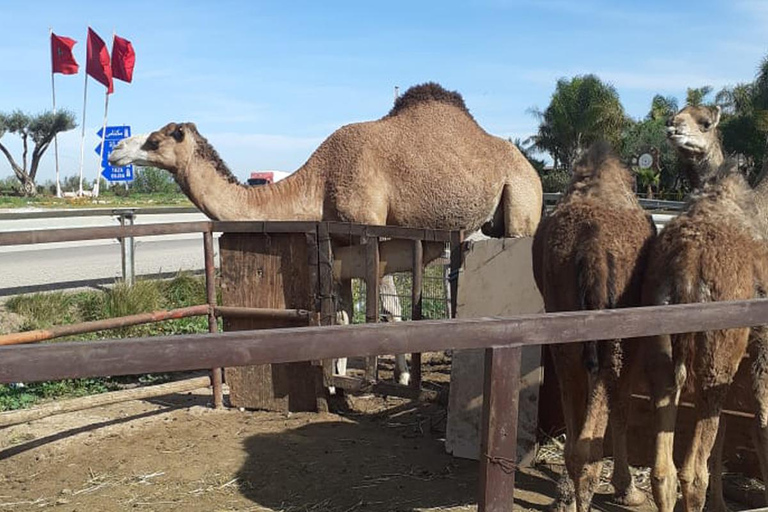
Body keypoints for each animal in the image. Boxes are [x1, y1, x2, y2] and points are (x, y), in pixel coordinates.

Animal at [109, 81, 544, 384]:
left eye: (155, 139)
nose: (114, 150)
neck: (318, 181)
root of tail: (530, 167)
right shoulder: (339, 240)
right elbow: (344, 312)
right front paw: (338, 375)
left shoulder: (371, 227)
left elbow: (387, 308)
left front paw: (400, 376)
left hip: (522, 204)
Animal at [536, 141, 656, 512]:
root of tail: (591, 244)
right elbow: (622, 406)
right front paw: (626, 489)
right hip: (618, 331)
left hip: (564, 320)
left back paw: (567, 497)